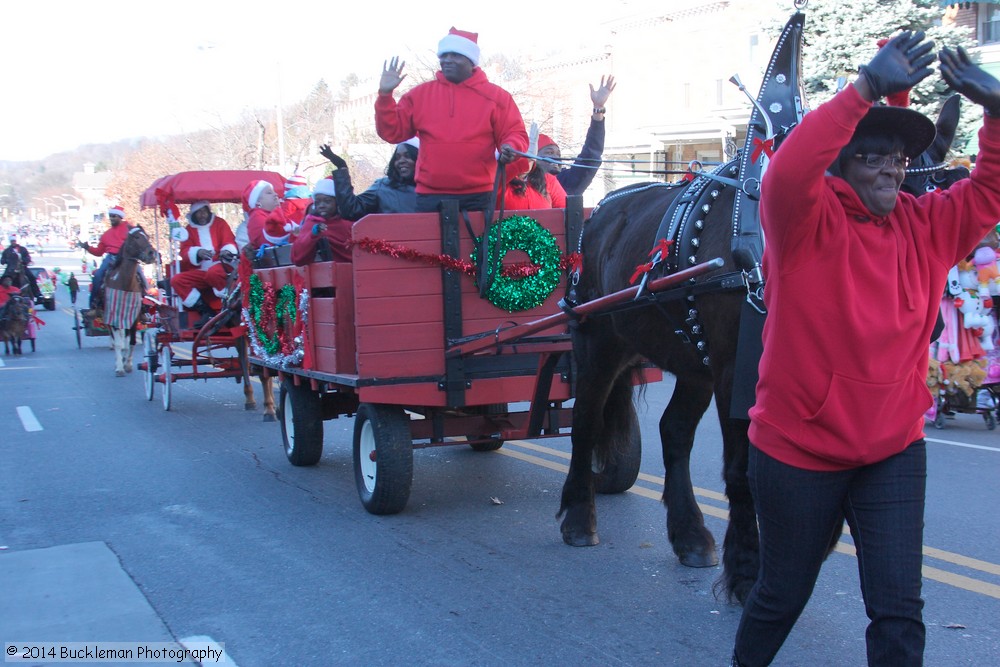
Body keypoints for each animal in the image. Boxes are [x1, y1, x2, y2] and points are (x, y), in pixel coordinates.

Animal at [560, 98, 964, 604]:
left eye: (933, 197)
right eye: (883, 179)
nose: (928, 322)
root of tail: (602, 212)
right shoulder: (737, 374)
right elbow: (743, 471)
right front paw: (748, 571)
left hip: (693, 363)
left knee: (674, 433)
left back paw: (690, 534)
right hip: (599, 344)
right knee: (585, 421)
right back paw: (579, 518)